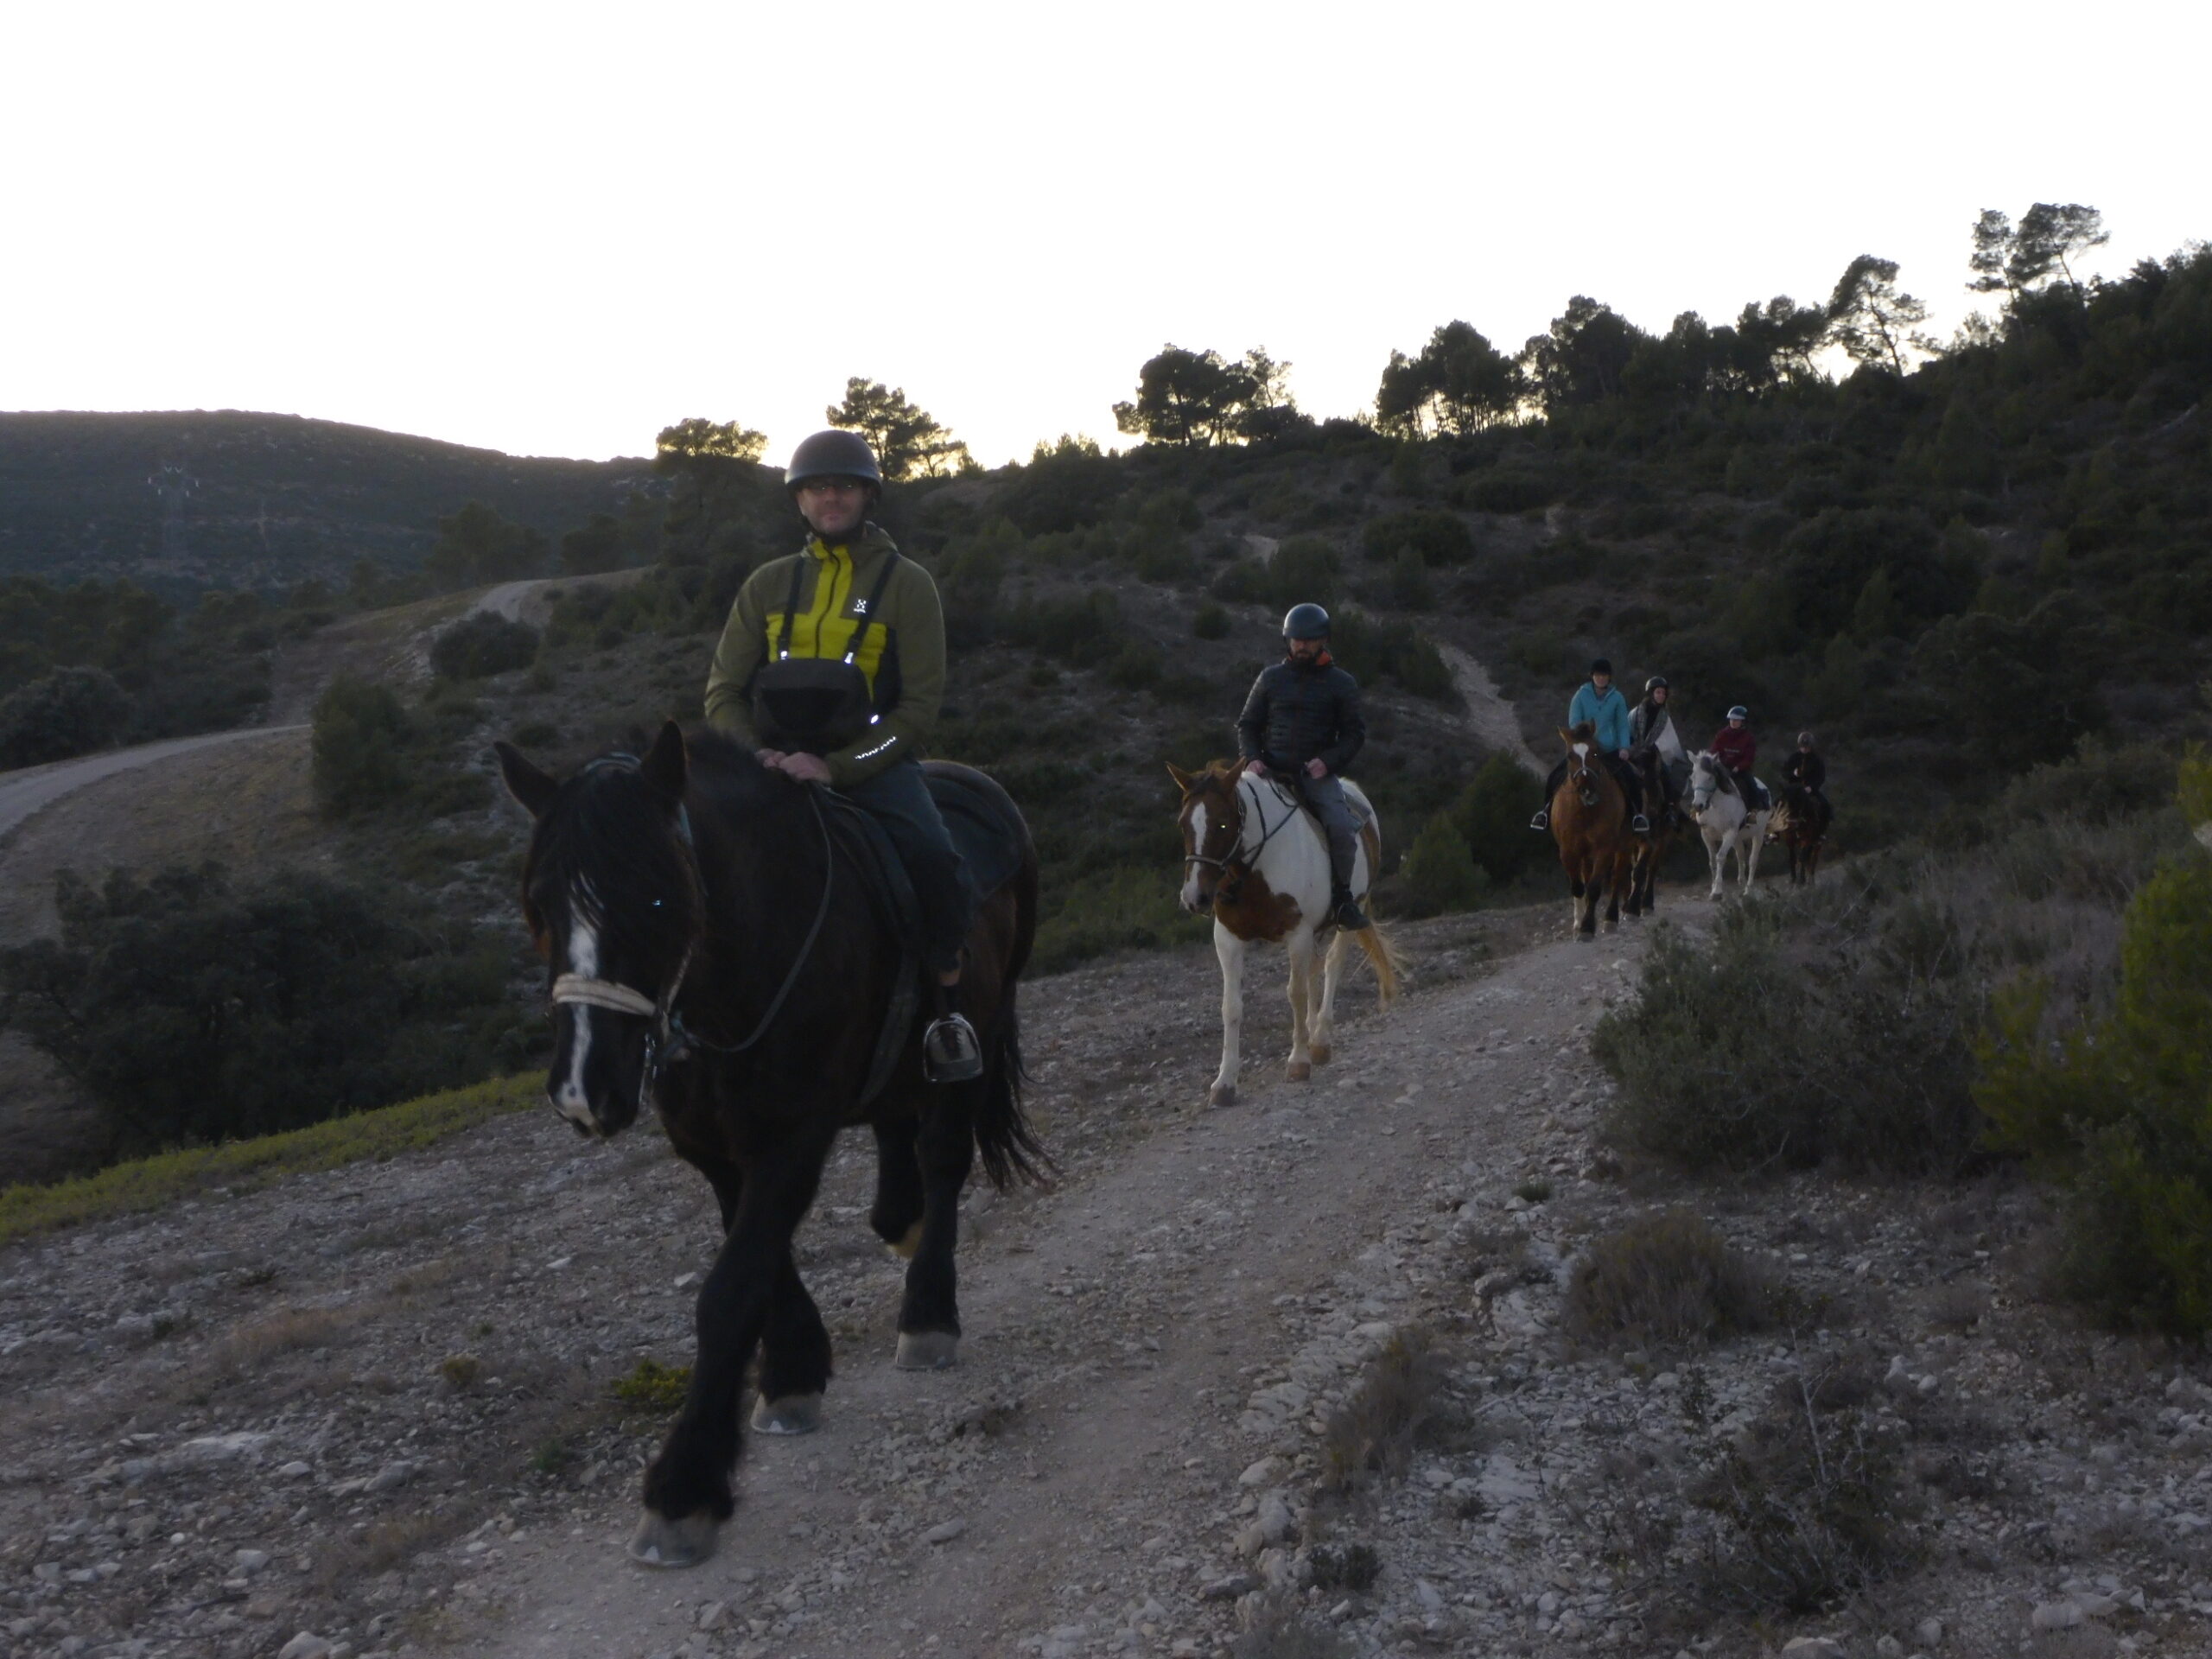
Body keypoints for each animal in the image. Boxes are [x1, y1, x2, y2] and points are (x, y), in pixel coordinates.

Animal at [502, 725, 1044, 1574]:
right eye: (538, 905)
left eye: (658, 897)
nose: (585, 1091)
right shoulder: (716, 1148)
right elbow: (756, 1260)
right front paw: (792, 1371)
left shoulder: (791, 1140)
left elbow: (729, 1291)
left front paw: (684, 1487)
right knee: (898, 1154)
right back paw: (903, 1227)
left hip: (976, 1036)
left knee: (944, 1160)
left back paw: (929, 1312)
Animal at [1159, 765, 1397, 1106]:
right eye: (1183, 824)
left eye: (1222, 823)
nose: (1195, 898)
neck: (1256, 872)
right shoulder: (1228, 940)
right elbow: (1231, 1006)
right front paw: (1224, 1083)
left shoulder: (1297, 934)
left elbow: (1295, 994)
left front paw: (1298, 1062)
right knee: (1314, 971)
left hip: (1354, 909)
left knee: (1332, 965)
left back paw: (1319, 1041)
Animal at [1557, 725, 1645, 942]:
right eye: (1570, 755)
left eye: (1595, 753)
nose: (1586, 788)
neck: (1585, 810)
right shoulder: (1568, 851)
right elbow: (1578, 887)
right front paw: (1578, 925)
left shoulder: (1605, 849)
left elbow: (1595, 887)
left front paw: (1587, 928)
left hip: (1624, 844)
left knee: (1618, 876)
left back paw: (1611, 919)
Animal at [1681, 756, 1770, 902]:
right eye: (1693, 777)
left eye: (1710, 777)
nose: (1698, 806)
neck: (1716, 807)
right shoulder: (1706, 835)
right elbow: (1712, 860)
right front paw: (1712, 889)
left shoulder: (1728, 834)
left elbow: (1720, 857)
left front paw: (1717, 891)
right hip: (1737, 839)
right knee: (1741, 856)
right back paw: (1741, 884)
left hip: (1758, 834)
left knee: (1752, 860)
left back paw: (1748, 890)